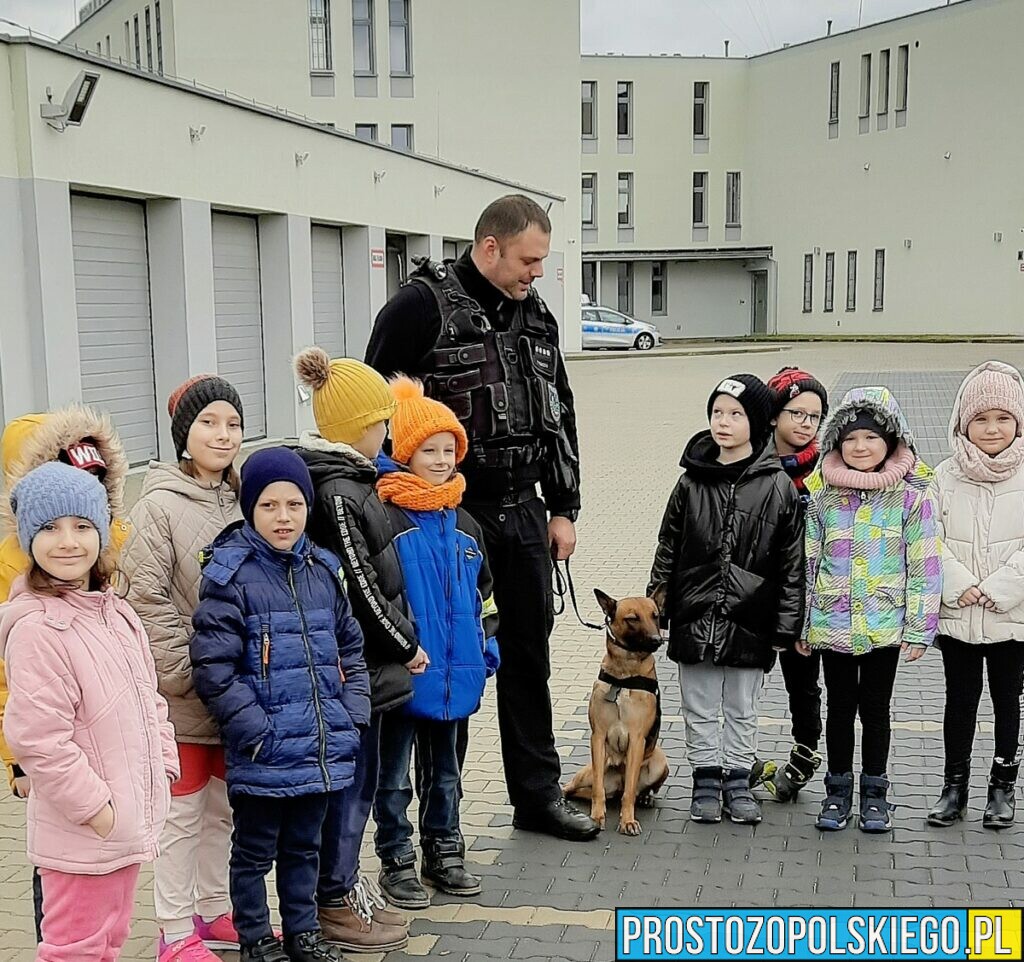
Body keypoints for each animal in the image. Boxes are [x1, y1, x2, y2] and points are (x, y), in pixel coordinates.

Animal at [565, 586, 667, 835]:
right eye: (632, 618)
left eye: (656, 616)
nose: (657, 640)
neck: (624, 677)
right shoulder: (598, 737)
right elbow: (597, 790)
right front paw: (596, 817)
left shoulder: (637, 741)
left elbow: (629, 792)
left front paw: (627, 820)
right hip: (590, 771)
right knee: (573, 787)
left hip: (660, 761)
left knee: (631, 790)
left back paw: (645, 797)